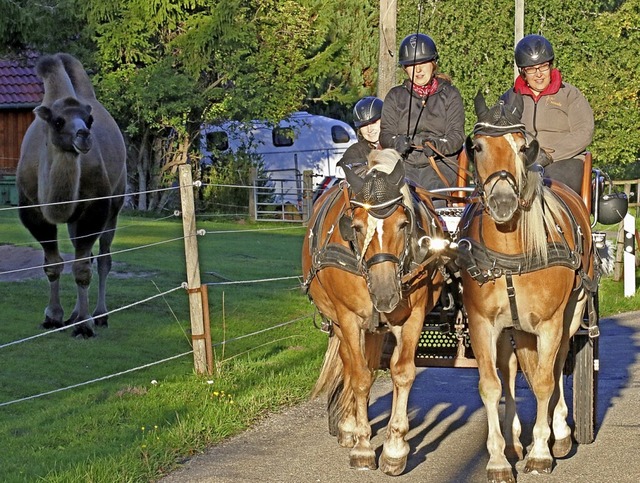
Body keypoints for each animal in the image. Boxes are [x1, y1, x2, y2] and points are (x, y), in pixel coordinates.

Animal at [15, 54, 126, 336]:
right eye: (58, 121)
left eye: (89, 120)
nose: (84, 136)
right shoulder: (32, 211)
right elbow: (52, 264)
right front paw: (53, 317)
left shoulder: (95, 208)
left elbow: (82, 268)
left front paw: (85, 326)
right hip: (75, 220)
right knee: (84, 252)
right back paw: (75, 315)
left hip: (116, 202)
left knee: (103, 258)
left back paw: (99, 315)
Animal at [302, 149, 448, 474]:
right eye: (356, 227)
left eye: (404, 223)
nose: (385, 294)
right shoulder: (348, 318)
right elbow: (359, 377)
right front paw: (363, 446)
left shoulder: (413, 317)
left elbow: (402, 373)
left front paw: (395, 448)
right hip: (342, 323)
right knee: (352, 365)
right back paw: (349, 426)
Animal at [458, 92, 596, 482]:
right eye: (477, 146)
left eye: (522, 147)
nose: (503, 202)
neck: (510, 254)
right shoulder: (482, 323)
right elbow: (492, 385)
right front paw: (499, 458)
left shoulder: (550, 324)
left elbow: (547, 381)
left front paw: (540, 452)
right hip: (514, 328)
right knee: (513, 372)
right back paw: (514, 440)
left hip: (572, 313)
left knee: (558, 364)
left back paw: (559, 433)